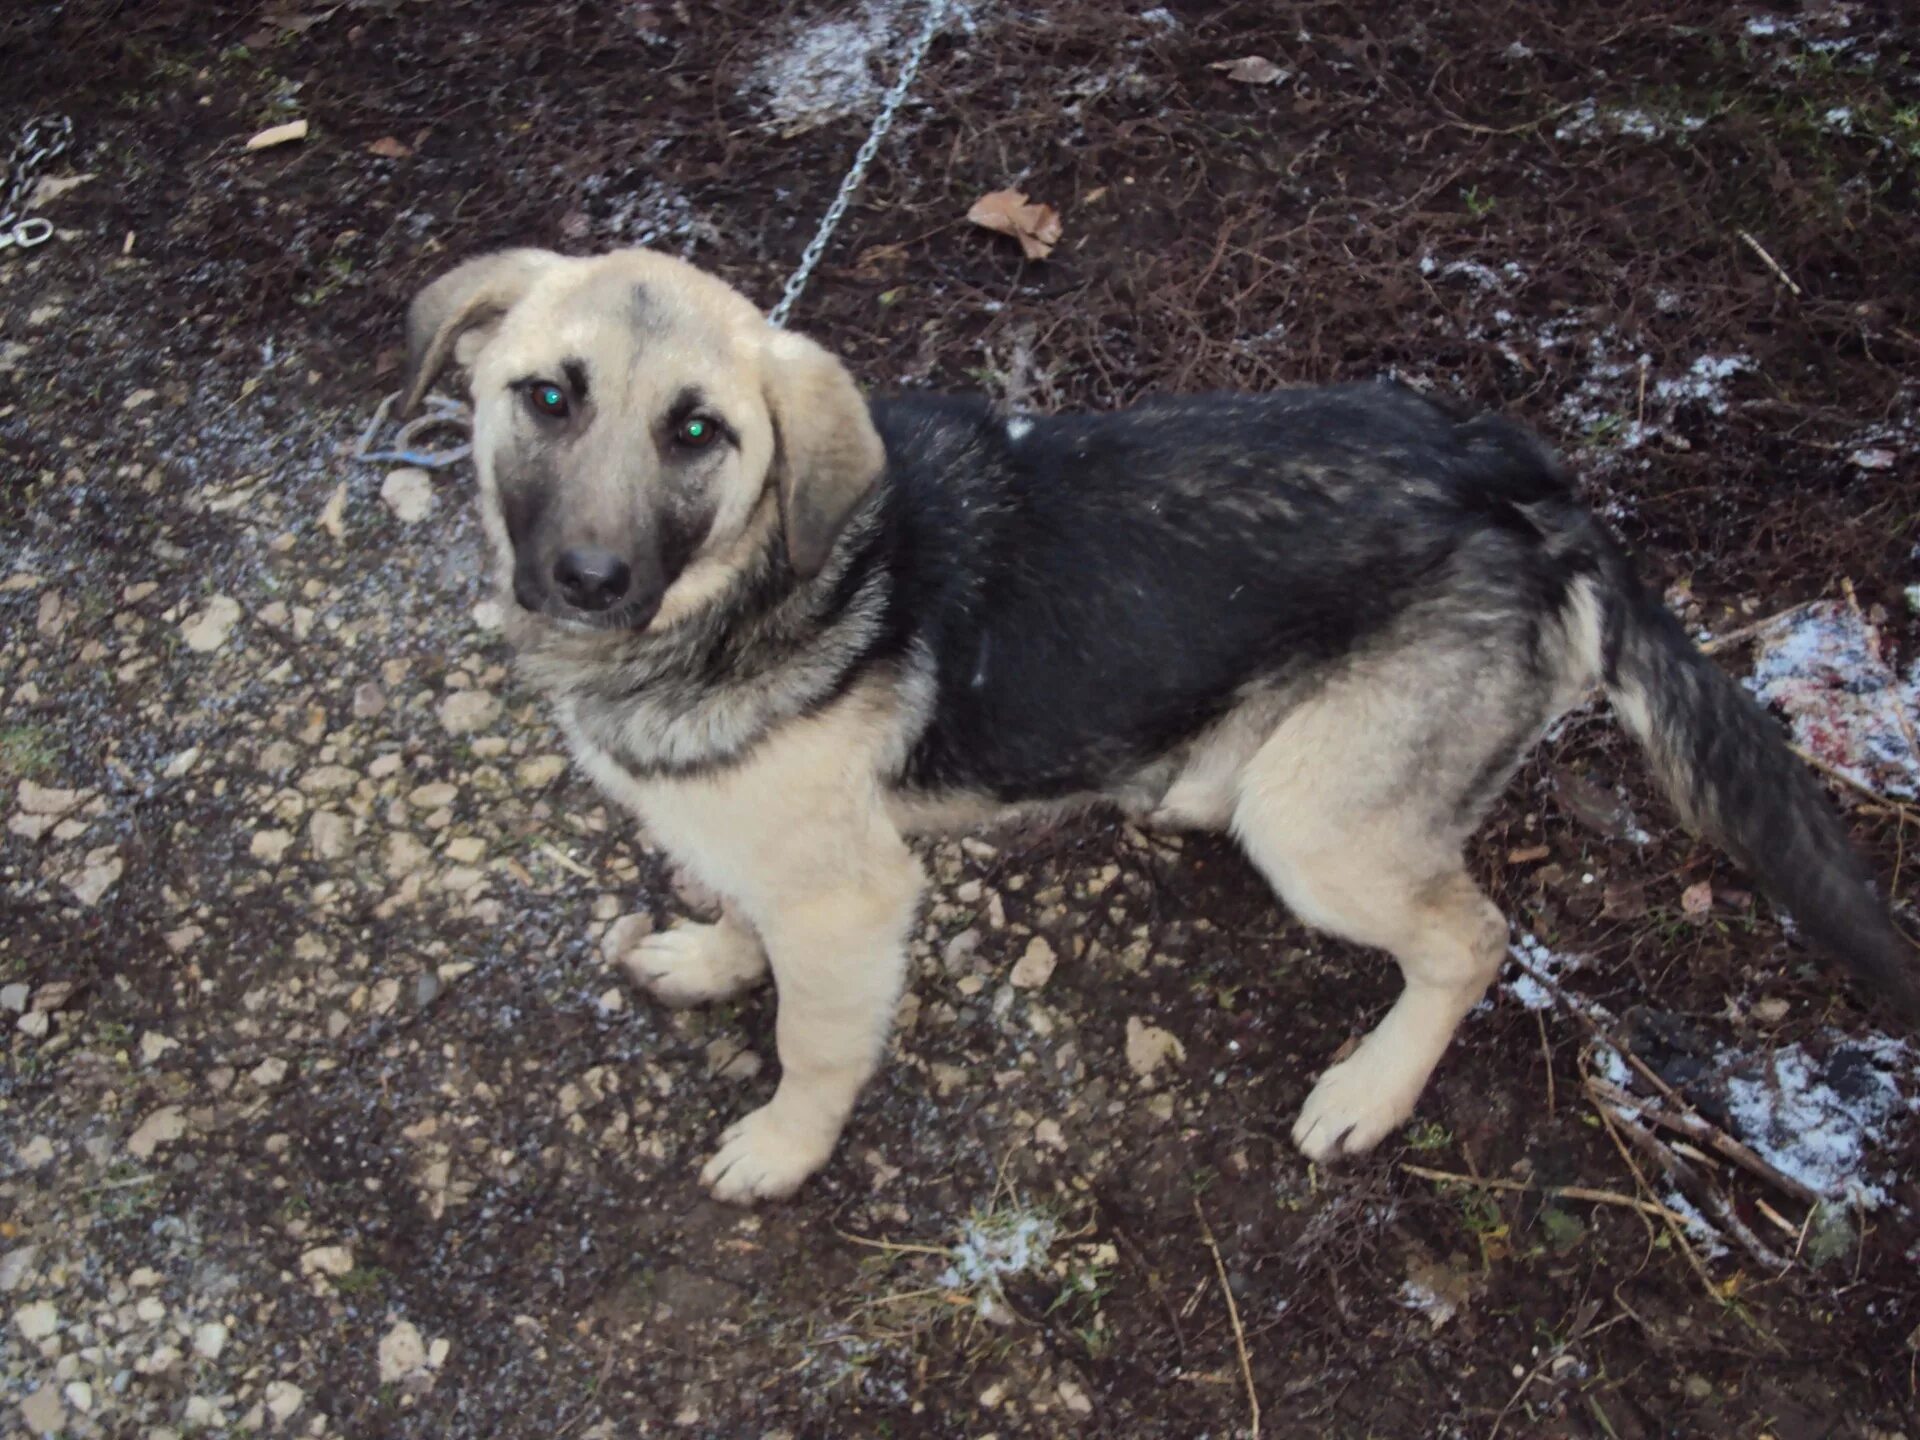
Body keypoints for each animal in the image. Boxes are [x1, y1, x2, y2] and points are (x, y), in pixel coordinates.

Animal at [397, 247, 1912, 1205]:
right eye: (547, 397)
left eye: (699, 433)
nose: (587, 582)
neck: (748, 586)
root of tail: (1513, 474)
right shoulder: (751, 844)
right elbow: (733, 908)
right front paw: (712, 956)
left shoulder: (855, 897)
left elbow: (815, 1040)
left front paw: (782, 1146)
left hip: (1318, 828)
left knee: (1474, 939)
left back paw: (1373, 1088)